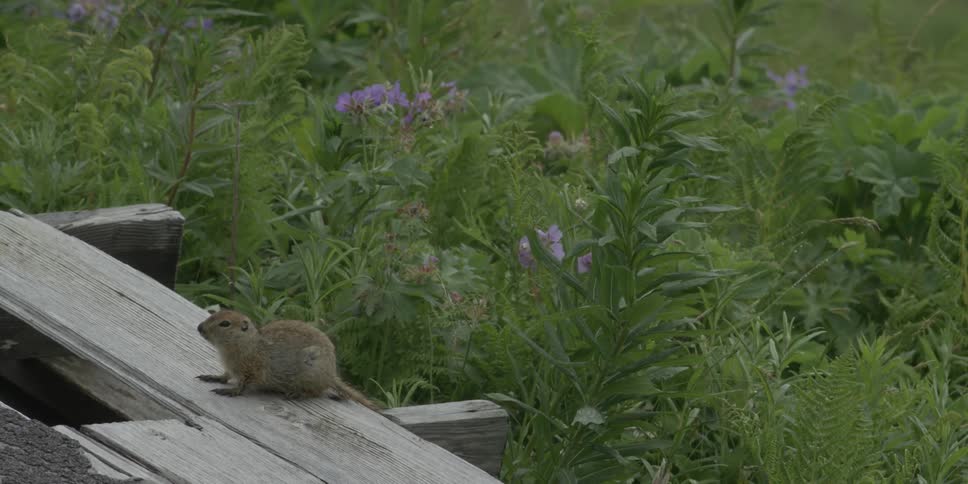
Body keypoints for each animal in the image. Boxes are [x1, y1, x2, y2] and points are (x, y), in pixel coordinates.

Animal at [195, 309, 382, 412]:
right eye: (215, 314)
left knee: (317, 391)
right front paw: (213, 377)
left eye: (225, 323)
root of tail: (331, 375)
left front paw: (230, 391)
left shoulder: (253, 368)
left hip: (311, 371)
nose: (199, 327)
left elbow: (244, 384)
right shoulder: (230, 366)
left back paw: (297, 394)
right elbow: (225, 375)